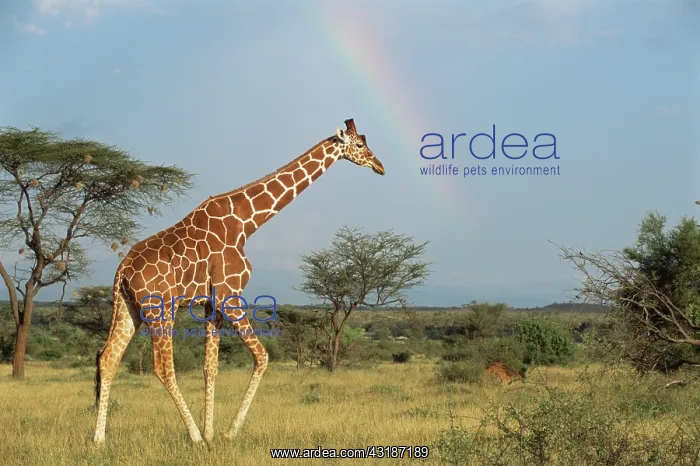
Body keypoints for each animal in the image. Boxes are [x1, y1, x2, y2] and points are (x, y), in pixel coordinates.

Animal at [92, 118, 384, 445]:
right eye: (359, 145)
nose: (380, 166)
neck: (246, 223)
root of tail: (122, 269)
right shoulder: (230, 296)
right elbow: (262, 357)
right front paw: (227, 432)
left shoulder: (211, 304)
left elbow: (210, 367)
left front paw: (211, 433)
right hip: (161, 308)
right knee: (163, 367)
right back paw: (193, 436)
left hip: (129, 307)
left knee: (107, 359)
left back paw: (99, 440)